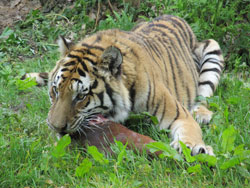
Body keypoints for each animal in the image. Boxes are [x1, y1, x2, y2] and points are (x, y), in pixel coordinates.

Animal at [24, 15, 225, 156]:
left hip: (212, 50)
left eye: (81, 96)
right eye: (55, 90)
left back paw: (202, 114)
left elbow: (189, 133)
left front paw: (191, 147)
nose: (55, 127)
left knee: (203, 95)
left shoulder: (180, 115)